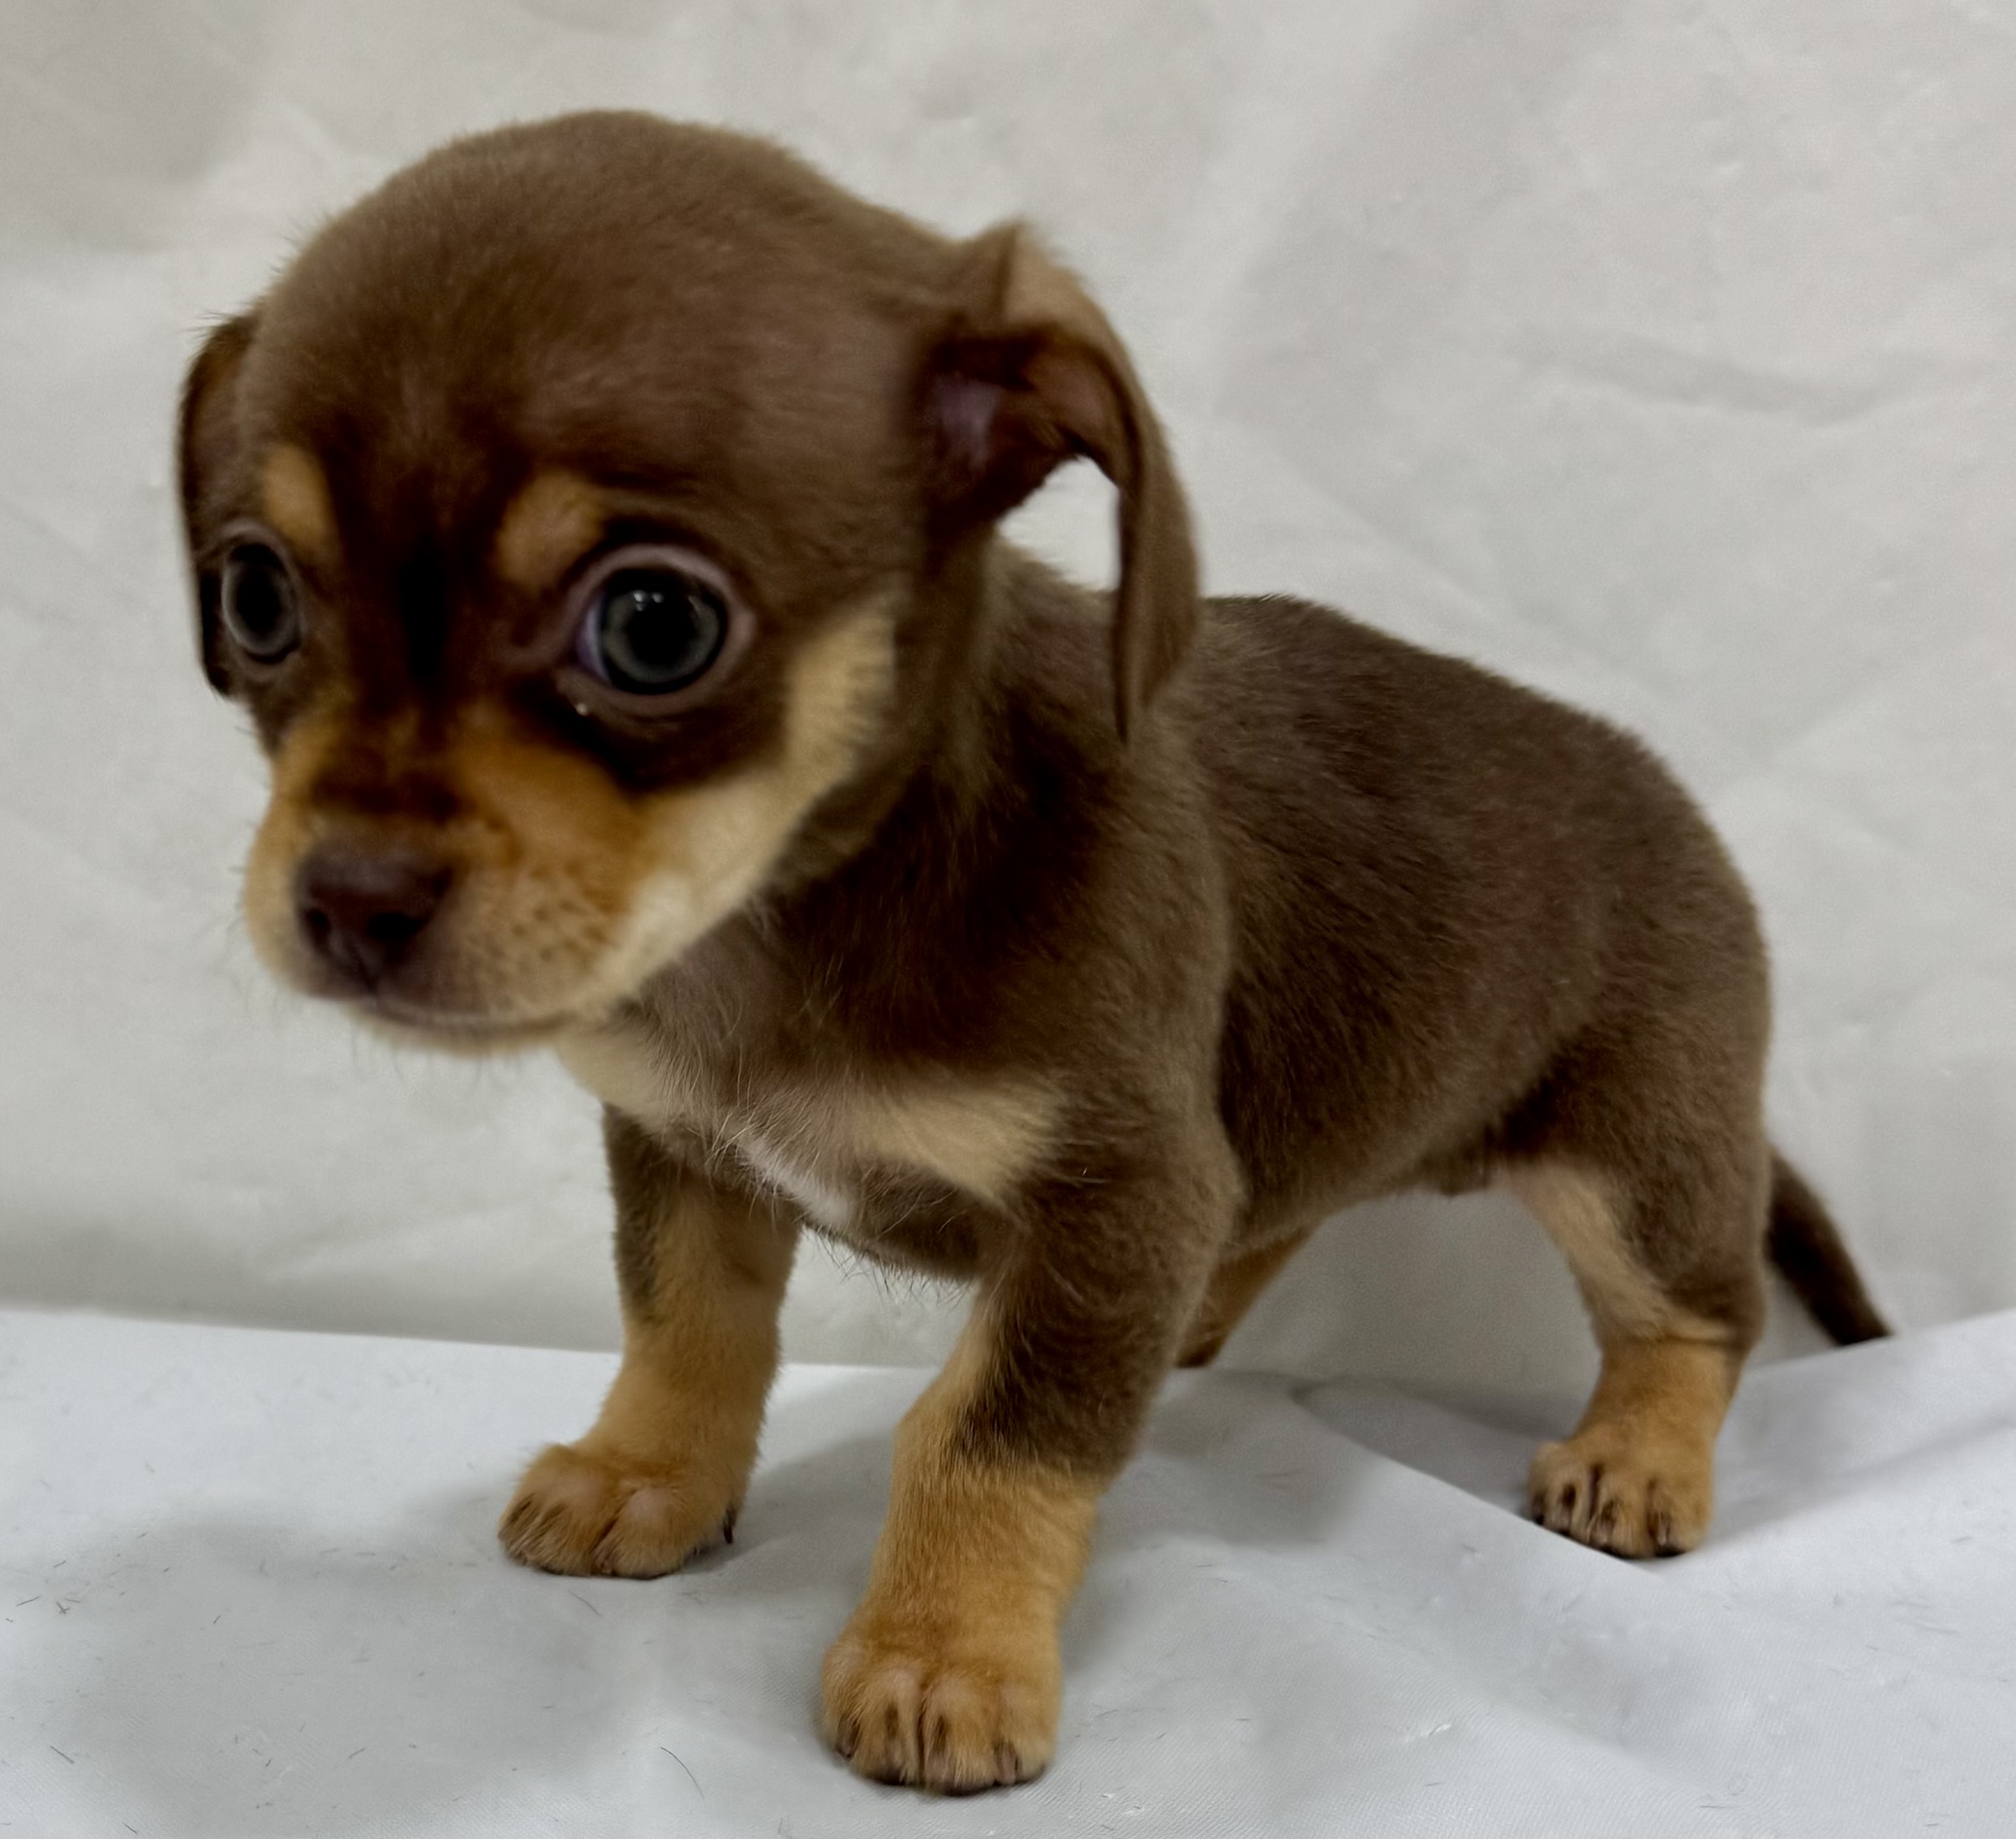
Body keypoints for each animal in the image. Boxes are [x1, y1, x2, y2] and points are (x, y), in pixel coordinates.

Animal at [176, 111, 1888, 1793]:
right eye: (253, 596)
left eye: (655, 625)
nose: (348, 900)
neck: (793, 917)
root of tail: (1675, 804)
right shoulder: (695, 1156)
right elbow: (687, 1331)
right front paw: (642, 1475)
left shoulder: (1114, 1200)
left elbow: (987, 1431)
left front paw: (945, 1654)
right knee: (1268, 1219)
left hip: (1628, 1163)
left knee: (1698, 1314)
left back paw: (1639, 1456)